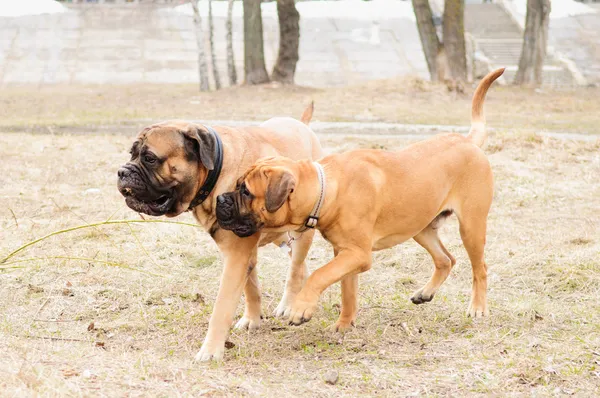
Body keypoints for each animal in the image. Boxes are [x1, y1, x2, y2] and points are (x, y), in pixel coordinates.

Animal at [117, 103, 324, 360]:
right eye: (131, 154)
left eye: (150, 158)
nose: (122, 172)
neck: (217, 171)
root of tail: (302, 125)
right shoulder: (241, 254)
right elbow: (251, 288)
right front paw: (252, 319)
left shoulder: (236, 258)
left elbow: (221, 308)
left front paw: (210, 350)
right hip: (279, 235)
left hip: (302, 230)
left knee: (295, 267)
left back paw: (288, 304)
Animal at [218, 69, 504, 332]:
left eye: (246, 191)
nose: (221, 199)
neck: (327, 188)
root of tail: (467, 141)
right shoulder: (345, 253)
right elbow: (347, 290)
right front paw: (344, 325)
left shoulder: (357, 254)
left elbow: (320, 274)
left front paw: (301, 308)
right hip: (420, 227)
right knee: (446, 260)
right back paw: (425, 293)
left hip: (471, 226)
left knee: (480, 267)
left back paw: (478, 307)